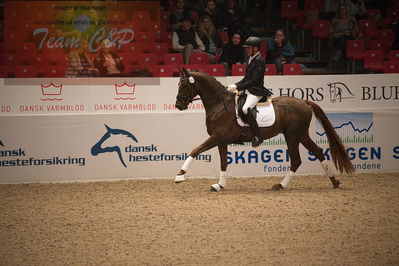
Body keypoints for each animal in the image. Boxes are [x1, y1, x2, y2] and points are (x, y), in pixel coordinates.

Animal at [174, 67, 354, 190]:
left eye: (185, 86)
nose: (178, 105)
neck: (219, 104)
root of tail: (304, 102)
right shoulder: (221, 140)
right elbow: (223, 162)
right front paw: (220, 185)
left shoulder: (218, 136)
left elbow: (195, 150)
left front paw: (180, 176)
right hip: (300, 135)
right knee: (315, 152)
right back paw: (333, 182)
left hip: (293, 135)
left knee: (297, 159)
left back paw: (282, 185)